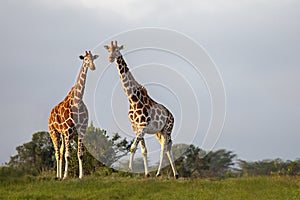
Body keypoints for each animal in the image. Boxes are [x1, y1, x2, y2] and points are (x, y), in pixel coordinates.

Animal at [47, 50, 98, 179]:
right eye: (85, 59)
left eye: (93, 58)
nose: (92, 67)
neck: (78, 101)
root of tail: (50, 114)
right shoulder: (67, 130)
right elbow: (68, 155)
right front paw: (66, 176)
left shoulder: (81, 130)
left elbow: (80, 154)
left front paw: (81, 176)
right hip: (53, 131)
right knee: (57, 153)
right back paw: (58, 176)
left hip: (62, 134)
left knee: (60, 151)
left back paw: (59, 175)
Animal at [104, 41, 178, 178]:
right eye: (109, 50)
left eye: (117, 50)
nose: (110, 58)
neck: (132, 99)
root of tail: (171, 115)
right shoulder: (136, 127)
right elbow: (143, 150)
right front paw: (146, 174)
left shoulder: (143, 127)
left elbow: (133, 147)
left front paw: (130, 170)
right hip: (159, 132)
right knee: (168, 147)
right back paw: (176, 174)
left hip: (167, 129)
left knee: (164, 148)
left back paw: (159, 173)